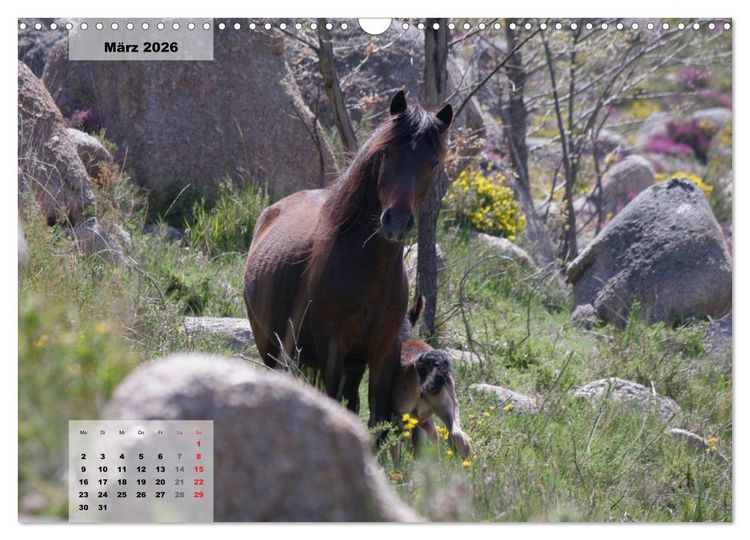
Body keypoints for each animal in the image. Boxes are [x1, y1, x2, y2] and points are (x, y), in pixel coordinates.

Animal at [243, 90, 453, 428]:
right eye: (386, 152)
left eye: (433, 164)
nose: (397, 221)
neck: (370, 271)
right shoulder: (333, 348)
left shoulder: (384, 351)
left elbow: (375, 414)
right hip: (271, 345)